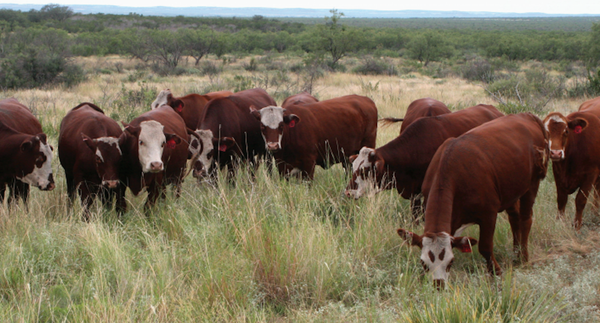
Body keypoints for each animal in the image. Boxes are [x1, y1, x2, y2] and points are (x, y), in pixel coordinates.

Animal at [396, 114, 552, 288]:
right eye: (424, 263)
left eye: (450, 262)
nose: (439, 285)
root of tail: (527, 116)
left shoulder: (489, 214)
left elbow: (485, 247)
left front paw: (496, 272)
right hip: (511, 190)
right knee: (515, 218)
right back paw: (516, 254)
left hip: (532, 183)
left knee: (525, 219)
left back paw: (523, 257)